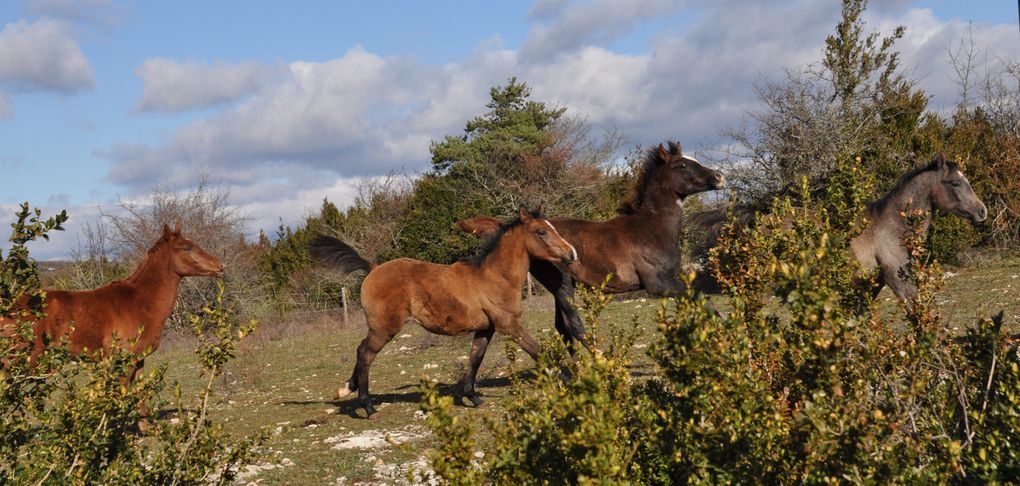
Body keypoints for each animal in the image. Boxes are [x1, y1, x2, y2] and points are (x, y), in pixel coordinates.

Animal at [306, 207, 579, 416]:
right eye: (541, 231)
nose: (572, 253)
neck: (494, 276)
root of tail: (372, 269)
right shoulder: (510, 325)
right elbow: (540, 353)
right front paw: (571, 381)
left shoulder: (486, 328)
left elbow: (475, 358)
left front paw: (472, 397)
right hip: (384, 328)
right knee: (365, 354)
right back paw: (367, 406)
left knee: (361, 352)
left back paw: (346, 389)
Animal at [454, 140, 726, 349]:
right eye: (682, 164)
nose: (719, 176)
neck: (651, 229)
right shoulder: (657, 284)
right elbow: (705, 300)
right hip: (562, 284)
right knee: (573, 325)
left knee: (562, 327)